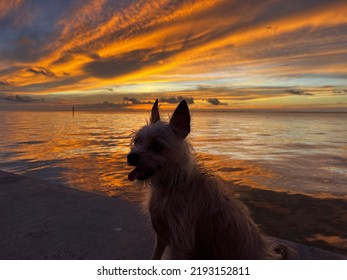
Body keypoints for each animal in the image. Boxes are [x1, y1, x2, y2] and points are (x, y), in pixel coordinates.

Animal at [127, 99, 296, 260]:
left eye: (156, 147)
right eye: (136, 141)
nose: (130, 156)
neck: (170, 186)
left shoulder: (180, 243)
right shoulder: (161, 235)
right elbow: (155, 256)